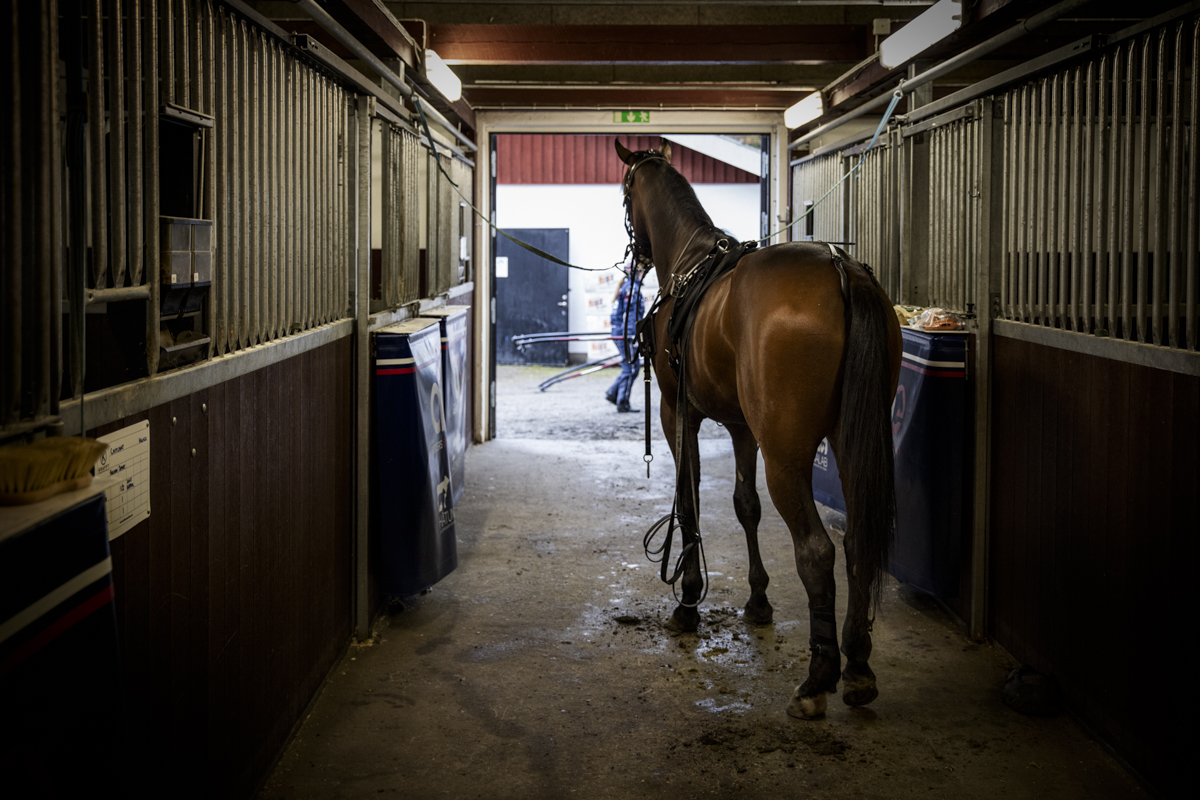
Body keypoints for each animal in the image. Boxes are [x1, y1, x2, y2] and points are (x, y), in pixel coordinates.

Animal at [615, 138, 903, 719]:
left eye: (626, 194)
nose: (636, 253)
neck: (689, 263)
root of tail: (842, 268)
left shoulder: (679, 413)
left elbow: (689, 499)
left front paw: (688, 601)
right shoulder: (740, 426)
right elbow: (745, 505)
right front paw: (758, 599)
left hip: (786, 455)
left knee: (817, 551)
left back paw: (818, 679)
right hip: (849, 442)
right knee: (855, 541)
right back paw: (858, 667)